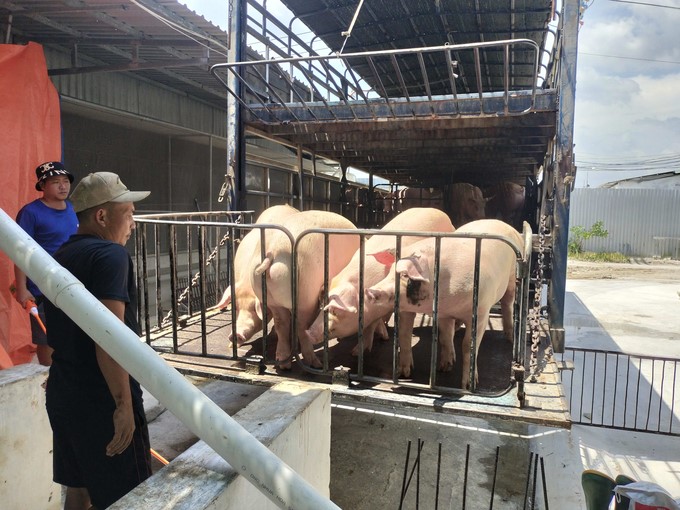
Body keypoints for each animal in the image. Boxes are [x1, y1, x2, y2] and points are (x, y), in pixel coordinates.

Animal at [247, 209, 358, 368]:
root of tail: (273, 252)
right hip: (305, 293)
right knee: (301, 326)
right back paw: (315, 363)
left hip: (268, 295)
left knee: (281, 324)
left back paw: (284, 364)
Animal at [304, 207, 454, 354]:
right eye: (323, 305)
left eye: (335, 310)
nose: (309, 333)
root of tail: (439, 211)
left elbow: (371, 326)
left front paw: (357, 351)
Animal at [364, 219, 524, 390]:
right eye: (389, 273)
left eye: (405, 275)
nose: (370, 291)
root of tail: (503, 223)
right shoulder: (442, 313)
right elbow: (435, 337)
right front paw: (438, 368)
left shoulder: (481, 311)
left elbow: (468, 345)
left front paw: (468, 386)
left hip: (512, 277)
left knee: (508, 303)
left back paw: (510, 338)